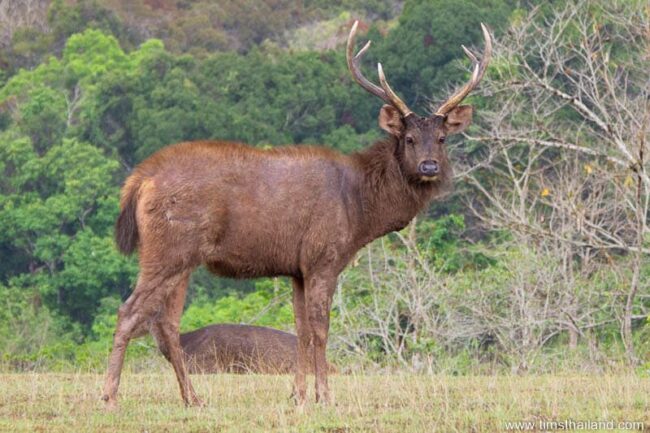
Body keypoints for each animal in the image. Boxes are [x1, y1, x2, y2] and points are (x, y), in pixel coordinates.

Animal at [101, 19, 488, 404]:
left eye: (441, 139)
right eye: (408, 139)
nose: (429, 166)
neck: (359, 209)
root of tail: (140, 179)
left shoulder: (297, 268)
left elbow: (300, 329)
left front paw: (298, 394)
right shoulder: (323, 255)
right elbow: (320, 328)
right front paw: (325, 396)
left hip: (181, 258)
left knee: (166, 323)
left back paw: (192, 398)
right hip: (169, 249)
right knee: (129, 311)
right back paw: (110, 396)